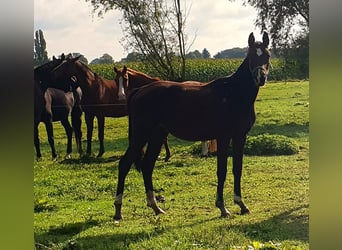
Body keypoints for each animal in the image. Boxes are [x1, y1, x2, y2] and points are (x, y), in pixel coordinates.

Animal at [113, 32, 272, 220]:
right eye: (251, 56)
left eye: (267, 55)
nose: (261, 77)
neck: (233, 93)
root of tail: (139, 91)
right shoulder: (224, 137)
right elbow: (222, 170)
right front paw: (222, 207)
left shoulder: (240, 136)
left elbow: (237, 169)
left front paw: (241, 204)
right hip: (141, 135)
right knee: (124, 164)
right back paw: (118, 211)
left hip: (157, 136)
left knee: (147, 166)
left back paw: (156, 207)